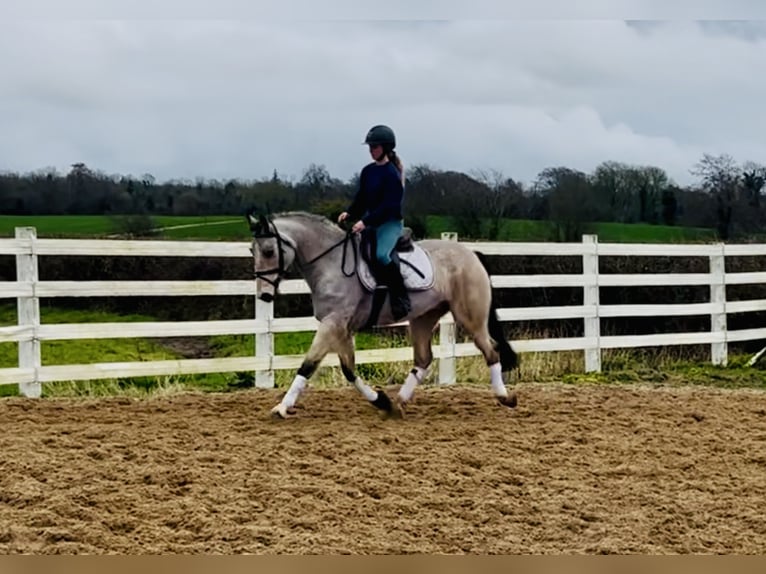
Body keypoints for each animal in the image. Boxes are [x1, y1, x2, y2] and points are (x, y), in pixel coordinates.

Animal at [246, 210, 519, 418]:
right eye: (251, 250)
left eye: (269, 251)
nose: (265, 296)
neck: (330, 264)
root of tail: (471, 254)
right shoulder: (342, 329)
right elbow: (349, 370)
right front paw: (381, 401)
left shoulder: (332, 324)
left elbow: (308, 365)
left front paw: (282, 408)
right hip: (423, 318)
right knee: (423, 359)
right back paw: (399, 403)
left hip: (470, 317)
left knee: (491, 351)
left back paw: (505, 397)